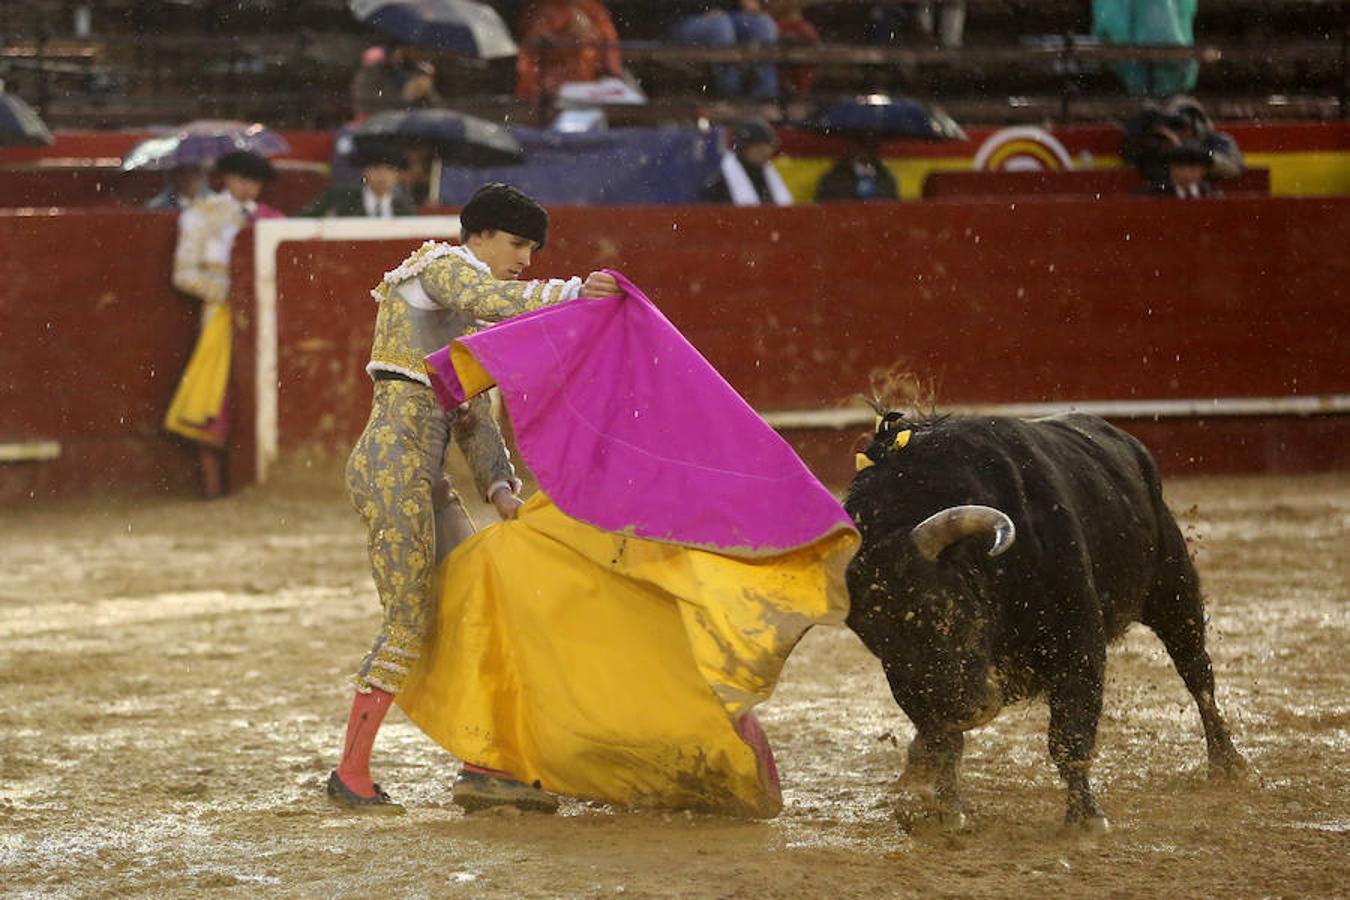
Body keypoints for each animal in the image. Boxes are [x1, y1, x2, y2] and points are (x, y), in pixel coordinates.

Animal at [842, 412, 1242, 831]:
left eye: (943, 603)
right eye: (873, 635)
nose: (967, 708)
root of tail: (1128, 443)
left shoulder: (1078, 640)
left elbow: (1069, 735)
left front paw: (1086, 819)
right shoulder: (919, 690)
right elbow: (942, 741)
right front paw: (942, 807)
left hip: (1174, 592)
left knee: (1198, 675)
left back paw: (1227, 764)